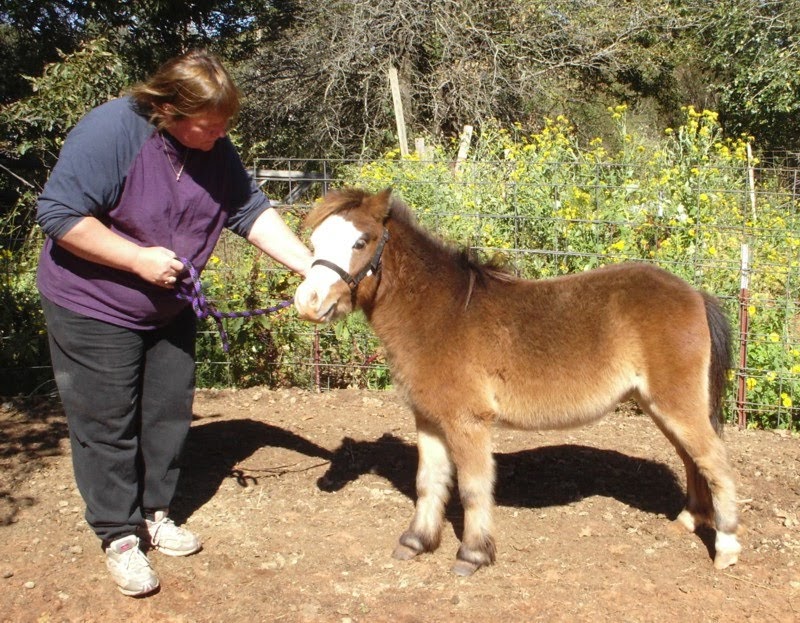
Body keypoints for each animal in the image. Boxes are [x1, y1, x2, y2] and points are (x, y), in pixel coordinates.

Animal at [293, 187, 741, 576]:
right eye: (314, 241)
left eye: (361, 241)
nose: (307, 303)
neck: (440, 314)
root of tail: (695, 294)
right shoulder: (429, 419)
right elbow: (428, 482)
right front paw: (416, 542)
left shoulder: (468, 422)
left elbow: (473, 489)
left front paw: (473, 555)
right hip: (660, 405)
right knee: (693, 459)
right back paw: (688, 520)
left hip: (675, 404)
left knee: (716, 460)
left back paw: (727, 547)